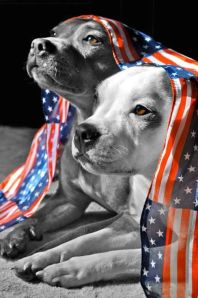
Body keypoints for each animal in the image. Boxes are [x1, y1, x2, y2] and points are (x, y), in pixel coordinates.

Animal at [13, 65, 172, 286]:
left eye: (142, 110)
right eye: (97, 98)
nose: (82, 132)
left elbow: (119, 257)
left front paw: (69, 268)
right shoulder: (132, 225)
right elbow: (82, 240)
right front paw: (40, 257)